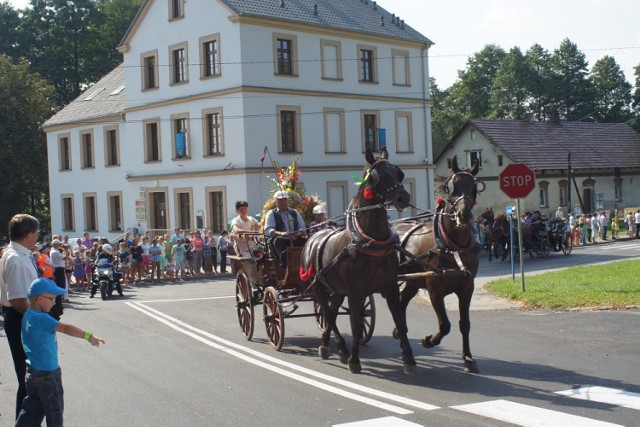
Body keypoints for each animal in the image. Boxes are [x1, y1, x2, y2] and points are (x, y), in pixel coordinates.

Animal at [302, 148, 416, 374]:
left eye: (398, 173)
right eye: (377, 176)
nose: (403, 197)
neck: (371, 242)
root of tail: (312, 237)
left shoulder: (390, 288)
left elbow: (399, 321)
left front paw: (408, 358)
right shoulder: (356, 293)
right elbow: (355, 325)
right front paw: (354, 360)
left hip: (336, 290)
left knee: (332, 312)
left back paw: (329, 345)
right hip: (318, 287)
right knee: (328, 314)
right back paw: (341, 348)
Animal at [396, 155, 480, 372]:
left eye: (474, 187)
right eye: (451, 187)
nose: (463, 215)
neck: (452, 247)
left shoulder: (467, 287)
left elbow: (464, 324)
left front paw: (468, 358)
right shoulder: (435, 290)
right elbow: (445, 325)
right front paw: (429, 340)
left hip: (412, 281)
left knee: (400, 304)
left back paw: (400, 338)